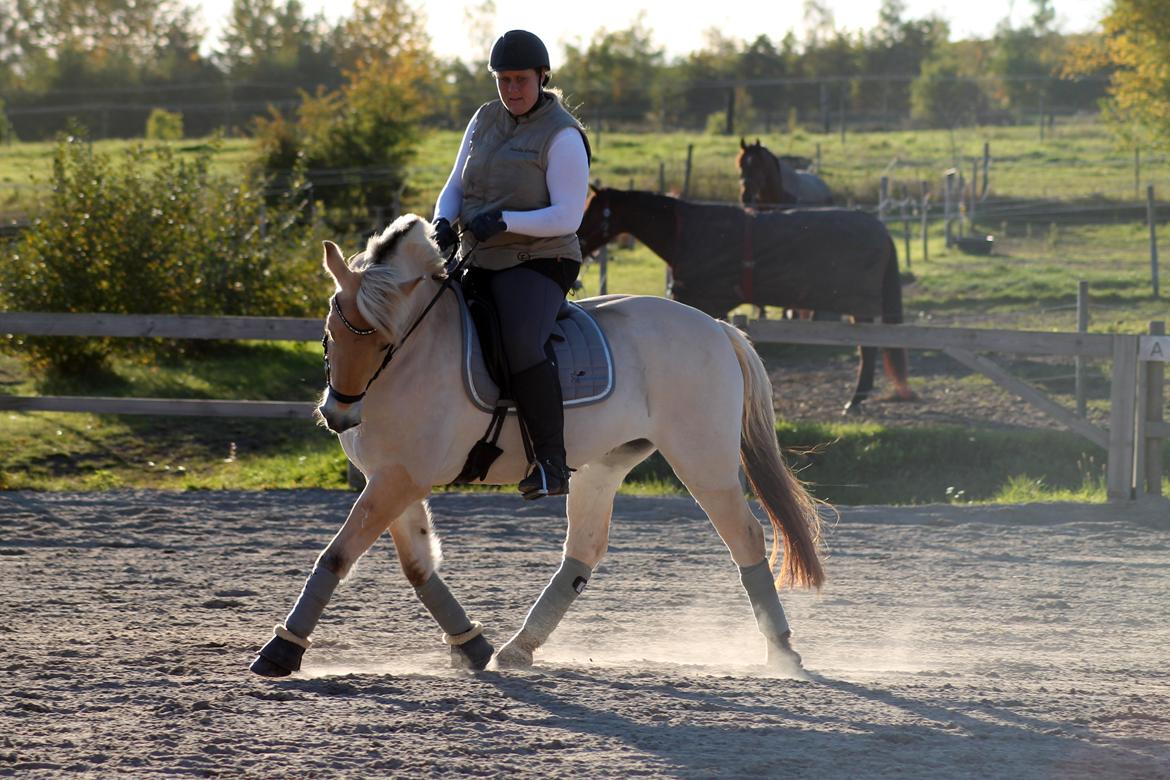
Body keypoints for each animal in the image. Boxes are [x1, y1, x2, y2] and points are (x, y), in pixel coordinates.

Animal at [251, 211, 828, 678]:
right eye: (331, 330)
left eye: (384, 340)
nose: (338, 415)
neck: (413, 356)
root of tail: (715, 327)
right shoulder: (392, 477)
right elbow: (417, 567)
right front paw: (471, 643)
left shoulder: (399, 477)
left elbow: (337, 555)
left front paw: (283, 649)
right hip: (603, 464)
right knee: (585, 548)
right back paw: (518, 648)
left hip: (703, 461)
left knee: (746, 538)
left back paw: (782, 652)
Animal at [575, 187, 912, 413]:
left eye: (592, 209)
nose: (577, 240)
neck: (687, 234)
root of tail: (882, 230)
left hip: (860, 308)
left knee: (868, 349)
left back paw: (856, 399)